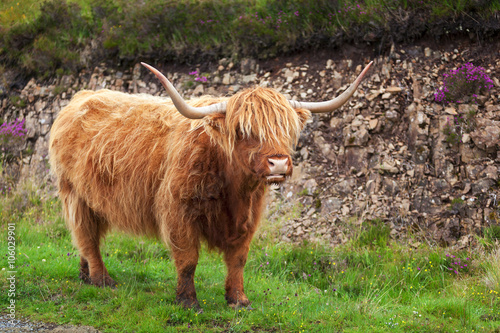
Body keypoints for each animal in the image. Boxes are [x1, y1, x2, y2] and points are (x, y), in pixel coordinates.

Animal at [49, 60, 372, 308]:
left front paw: (238, 300)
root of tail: (80, 97)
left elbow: (238, 259)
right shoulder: (179, 212)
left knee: (85, 238)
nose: (278, 164)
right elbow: (188, 259)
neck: (233, 189)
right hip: (74, 193)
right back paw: (102, 279)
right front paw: (188, 301)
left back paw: (85, 275)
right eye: (244, 130)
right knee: (87, 235)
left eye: (286, 128)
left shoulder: (248, 218)